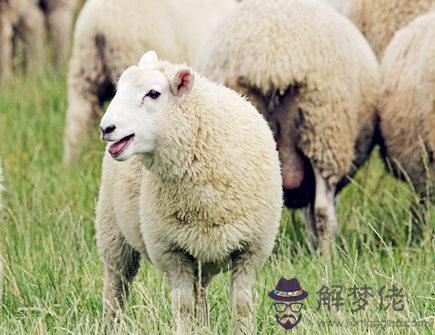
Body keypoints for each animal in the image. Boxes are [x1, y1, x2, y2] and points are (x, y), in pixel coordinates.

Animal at [95, 51, 282, 334]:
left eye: (153, 93)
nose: (106, 128)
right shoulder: (172, 252)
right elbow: (182, 307)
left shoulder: (251, 250)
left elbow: (241, 305)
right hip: (112, 229)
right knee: (116, 285)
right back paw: (110, 324)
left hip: (201, 253)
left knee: (200, 293)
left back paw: (203, 326)